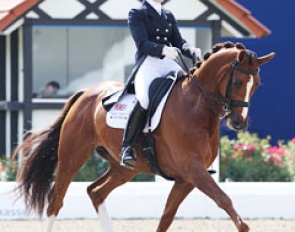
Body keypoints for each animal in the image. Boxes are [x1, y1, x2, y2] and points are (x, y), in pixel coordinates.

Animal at [11, 42, 276, 232]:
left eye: (257, 84)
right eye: (239, 81)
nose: (238, 122)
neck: (196, 107)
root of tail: (86, 93)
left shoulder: (186, 178)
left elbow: (166, 217)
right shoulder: (193, 170)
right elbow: (224, 200)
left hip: (125, 167)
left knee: (96, 192)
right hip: (72, 157)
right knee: (56, 201)